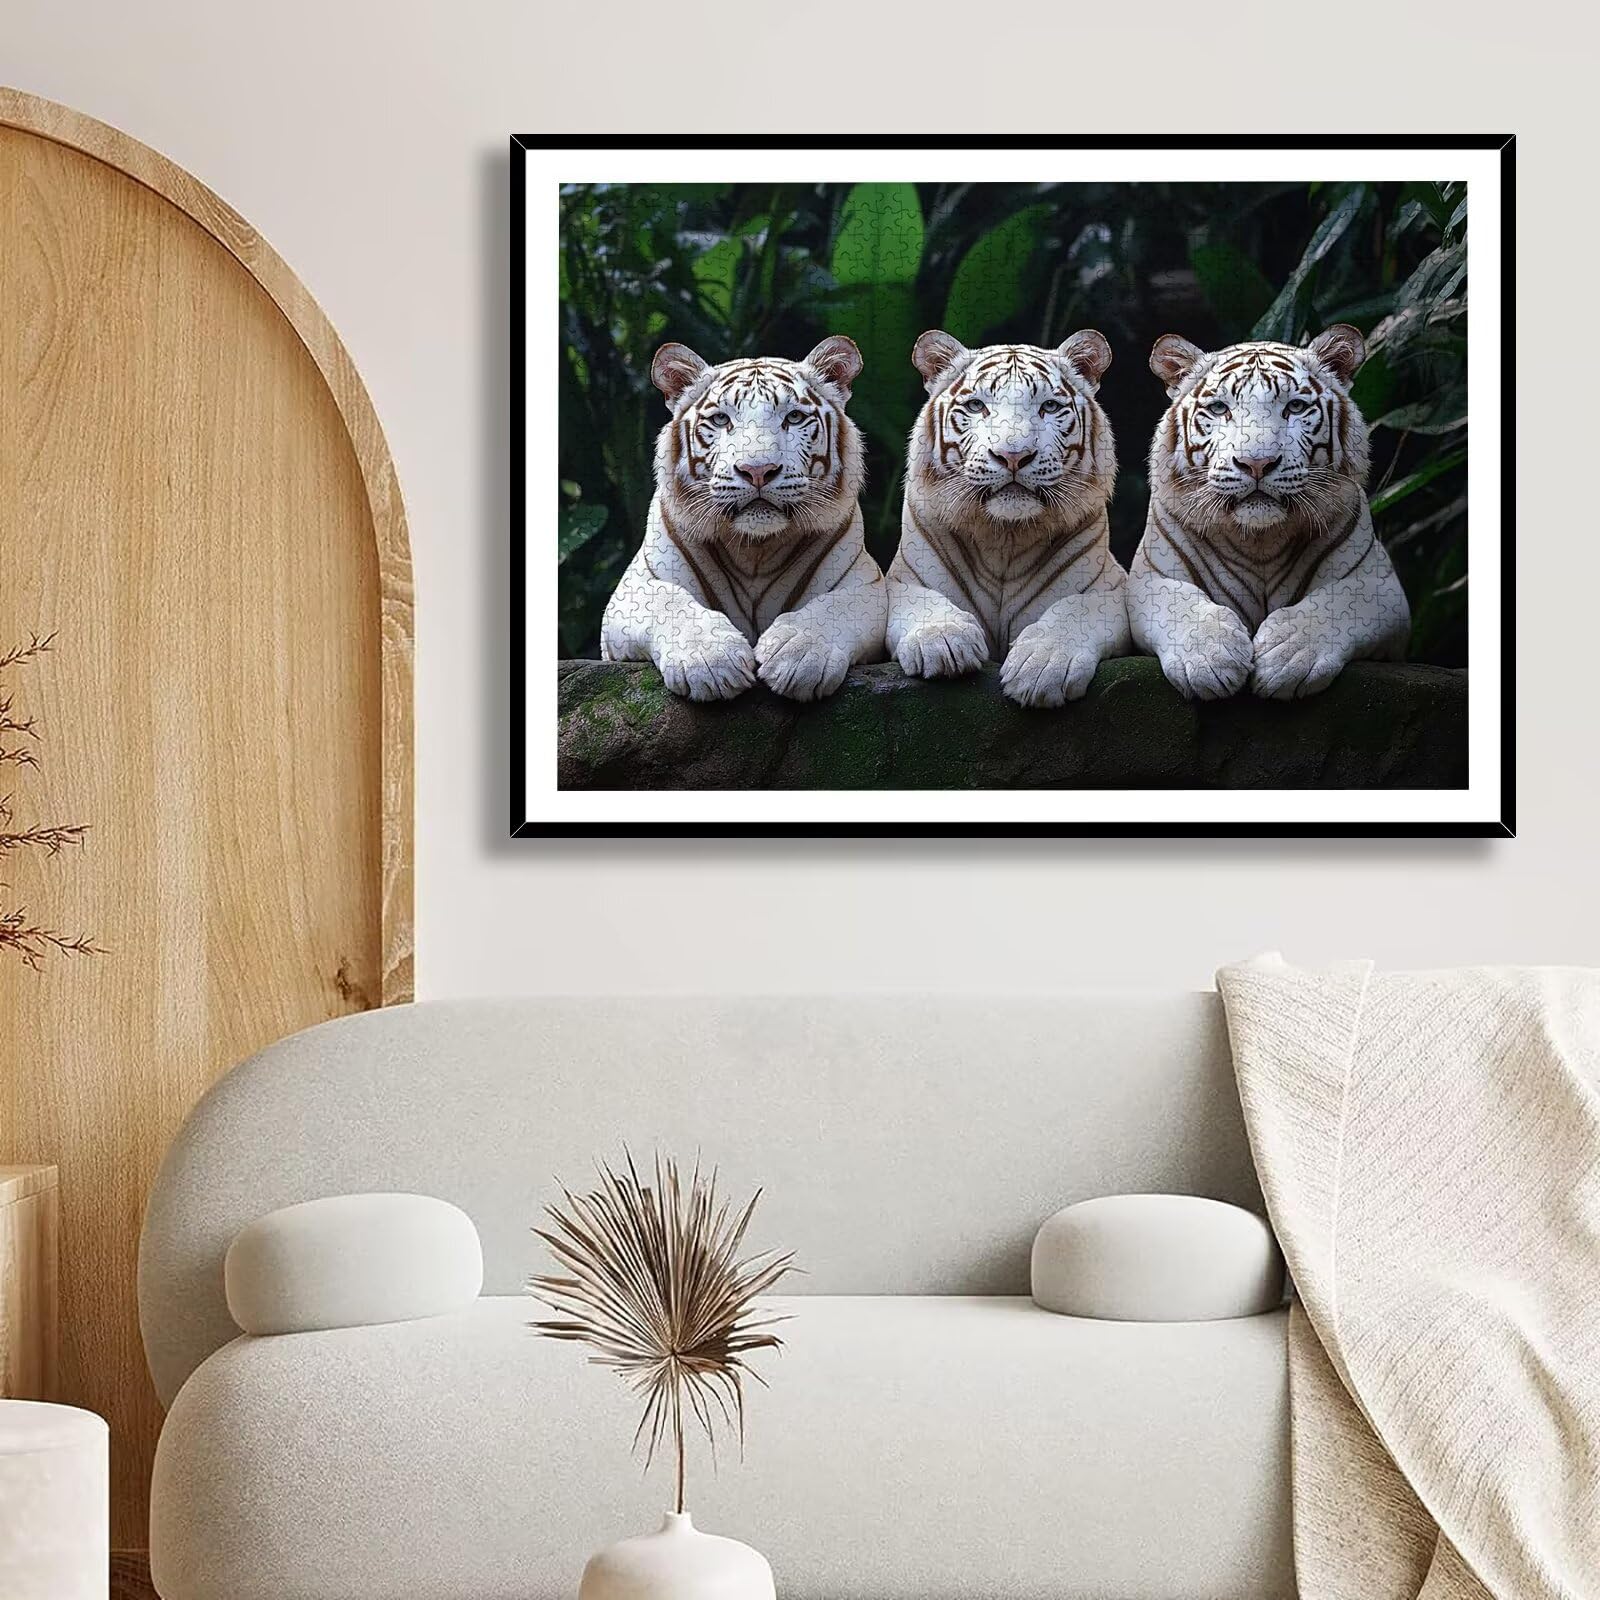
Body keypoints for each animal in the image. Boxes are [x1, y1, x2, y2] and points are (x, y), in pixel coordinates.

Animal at [601, 336, 886, 702]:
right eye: (721, 420)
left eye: (794, 417)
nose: (758, 470)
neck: (755, 550)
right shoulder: (632, 590)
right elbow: (669, 602)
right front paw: (710, 661)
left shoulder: (868, 585)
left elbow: (836, 607)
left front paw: (799, 654)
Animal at [886, 329, 1130, 708]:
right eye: (976, 406)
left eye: (1049, 407)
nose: (1013, 455)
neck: (1004, 536)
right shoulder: (898, 580)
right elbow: (920, 601)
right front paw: (943, 642)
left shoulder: (1113, 589)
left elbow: (1075, 609)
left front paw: (1043, 666)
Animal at [1128, 324, 1410, 701]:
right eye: (1219, 408)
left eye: (1296, 406)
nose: (1257, 463)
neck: (1259, 540)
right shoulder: (1148, 578)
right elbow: (1179, 604)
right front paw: (1210, 658)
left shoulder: (1381, 586)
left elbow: (1340, 602)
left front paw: (1288, 656)